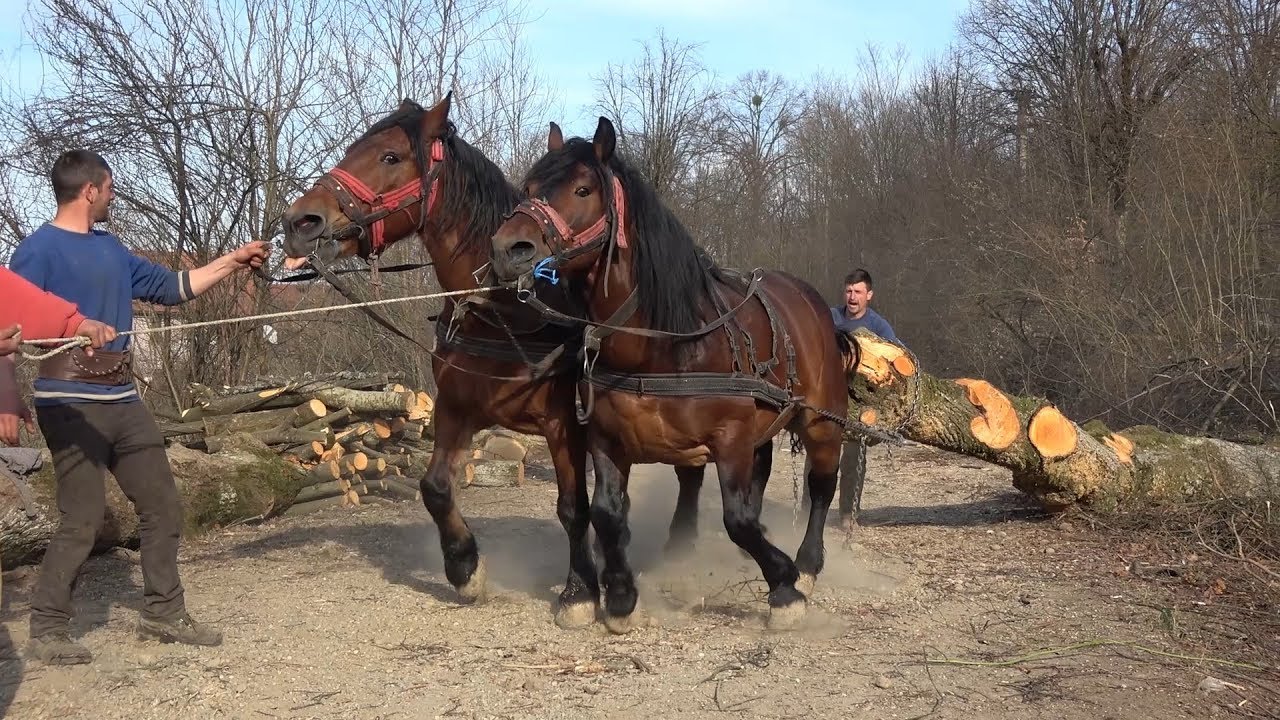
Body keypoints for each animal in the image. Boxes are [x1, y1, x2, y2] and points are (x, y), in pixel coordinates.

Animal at [278, 96, 708, 628]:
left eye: (391, 157)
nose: (300, 222)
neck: (505, 313)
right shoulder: (456, 411)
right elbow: (436, 488)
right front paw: (464, 568)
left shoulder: (564, 425)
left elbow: (573, 508)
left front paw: (579, 592)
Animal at [489, 118, 852, 632]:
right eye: (530, 188)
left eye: (582, 189)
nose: (507, 249)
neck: (664, 342)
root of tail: (810, 300)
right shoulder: (606, 438)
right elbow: (606, 513)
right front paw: (620, 596)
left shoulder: (730, 437)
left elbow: (738, 521)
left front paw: (784, 587)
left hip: (822, 421)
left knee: (821, 487)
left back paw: (807, 565)